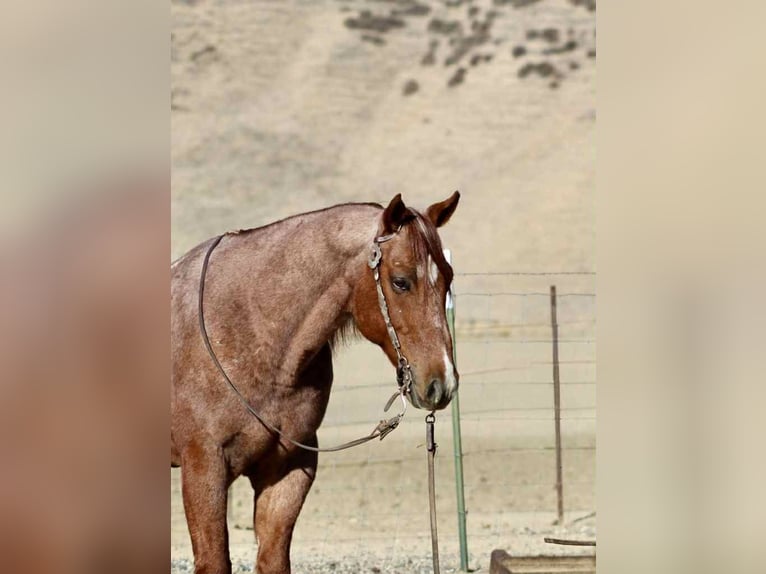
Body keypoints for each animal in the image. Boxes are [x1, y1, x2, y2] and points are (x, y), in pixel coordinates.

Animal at [171, 192, 460, 574]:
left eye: (448, 278)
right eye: (400, 281)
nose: (442, 383)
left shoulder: (289, 470)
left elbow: (274, 558)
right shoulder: (204, 467)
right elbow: (214, 559)